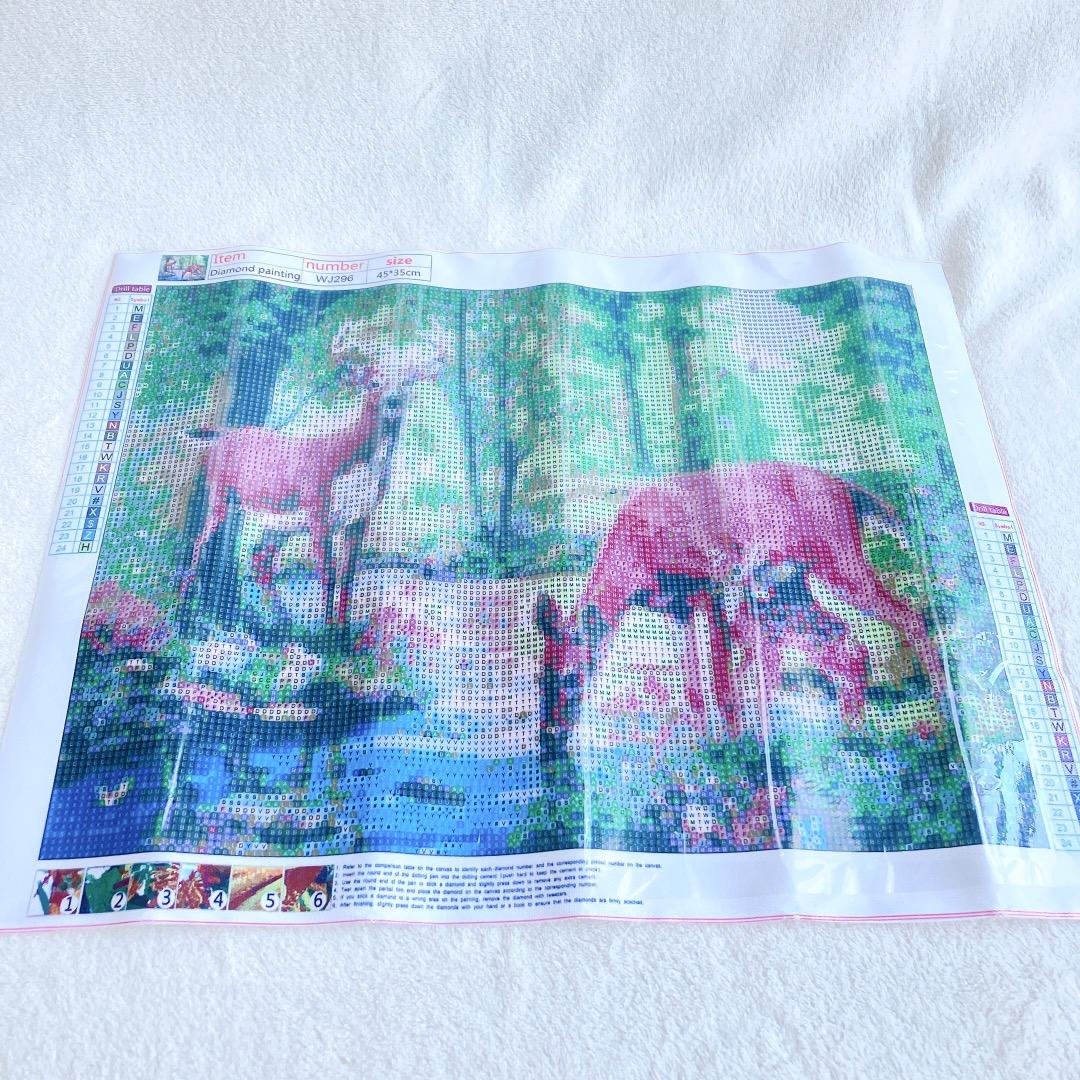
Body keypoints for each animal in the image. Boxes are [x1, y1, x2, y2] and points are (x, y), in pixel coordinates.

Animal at [537, 461, 945, 747]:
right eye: (543, 679)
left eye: (570, 676)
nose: (552, 734)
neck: (638, 554)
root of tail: (848, 489)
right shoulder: (679, 607)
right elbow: (694, 690)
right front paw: (707, 751)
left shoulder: (716, 580)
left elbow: (721, 684)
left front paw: (734, 748)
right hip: (794, 588)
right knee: (847, 645)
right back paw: (851, 732)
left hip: (839, 562)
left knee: (910, 618)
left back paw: (941, 712)